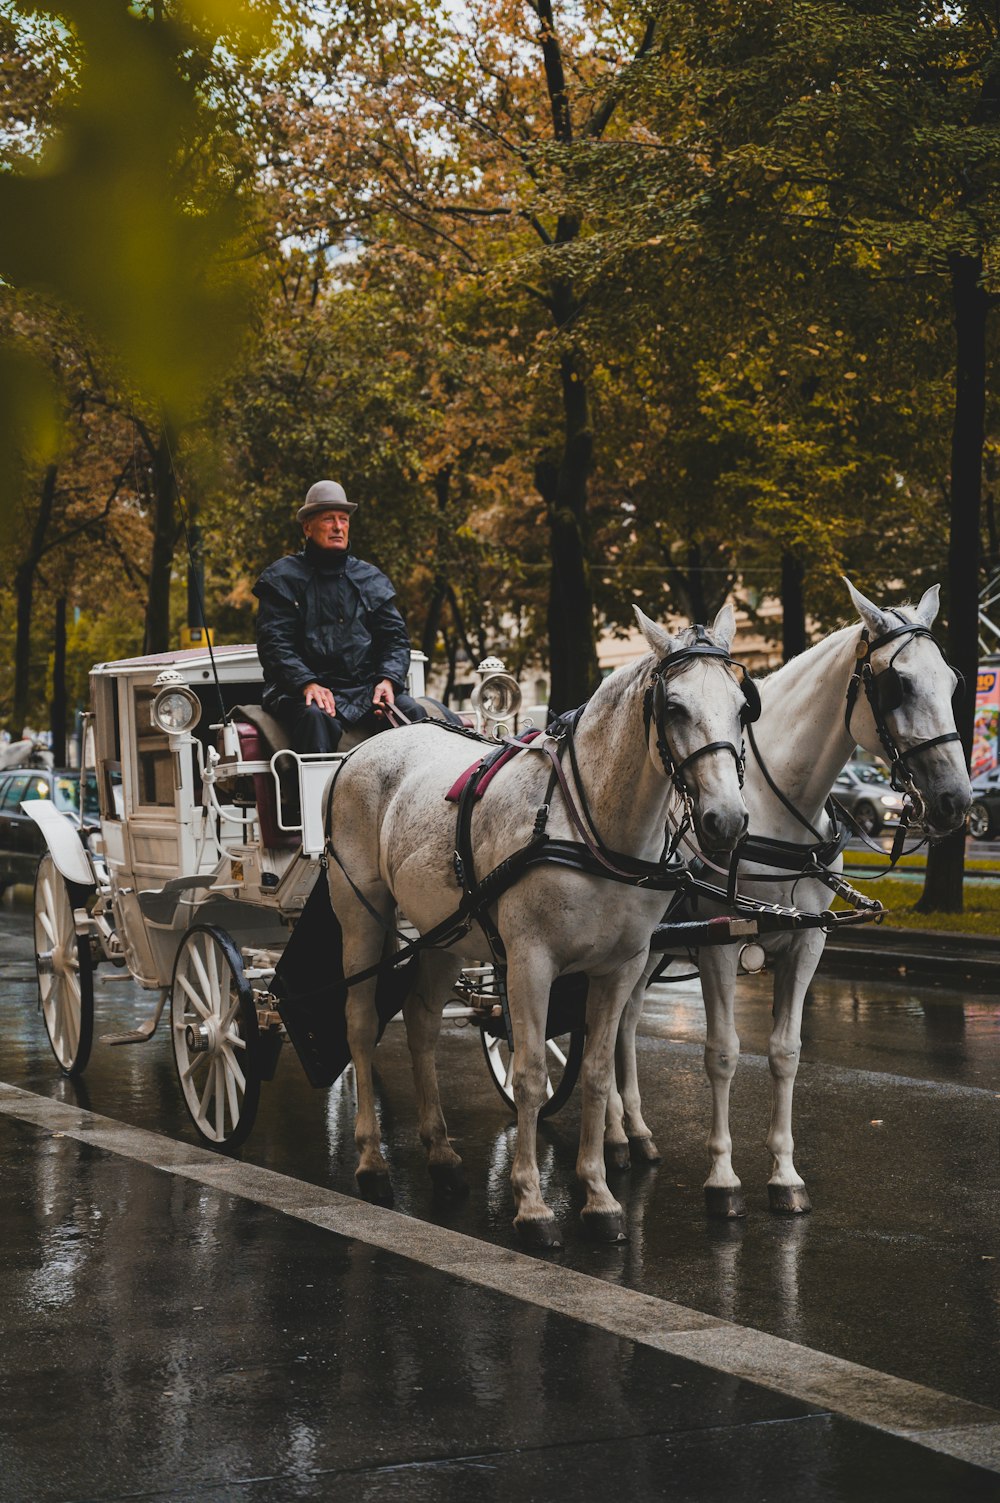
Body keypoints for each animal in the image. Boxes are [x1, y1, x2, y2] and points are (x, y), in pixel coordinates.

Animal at [323, 607, 751, 1244]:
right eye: (674, 707)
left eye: (744, 707)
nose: (727, 821)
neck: (591, 829)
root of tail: (364, 749)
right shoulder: (529, 962)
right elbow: (527, 1073)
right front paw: (531, 1204)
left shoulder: (619, 968)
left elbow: (597, 1073)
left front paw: (599, 1196)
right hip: (361, 920)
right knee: (359, 1025)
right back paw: (372, 1160)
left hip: (443, 934)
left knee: (422, 1025)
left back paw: (441, 1155)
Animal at [604, 580, 968, 1214]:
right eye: (898, 685)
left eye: (952, 681)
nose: (958, 801)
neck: (775, 812)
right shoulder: (721, 947)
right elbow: (723, 1052)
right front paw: (723, 1178)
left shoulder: (807, 944)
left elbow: (786, 1052)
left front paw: (784, 1175)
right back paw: (612, 1137)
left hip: (648, 948)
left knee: (622, 1023)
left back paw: (637, 1134)